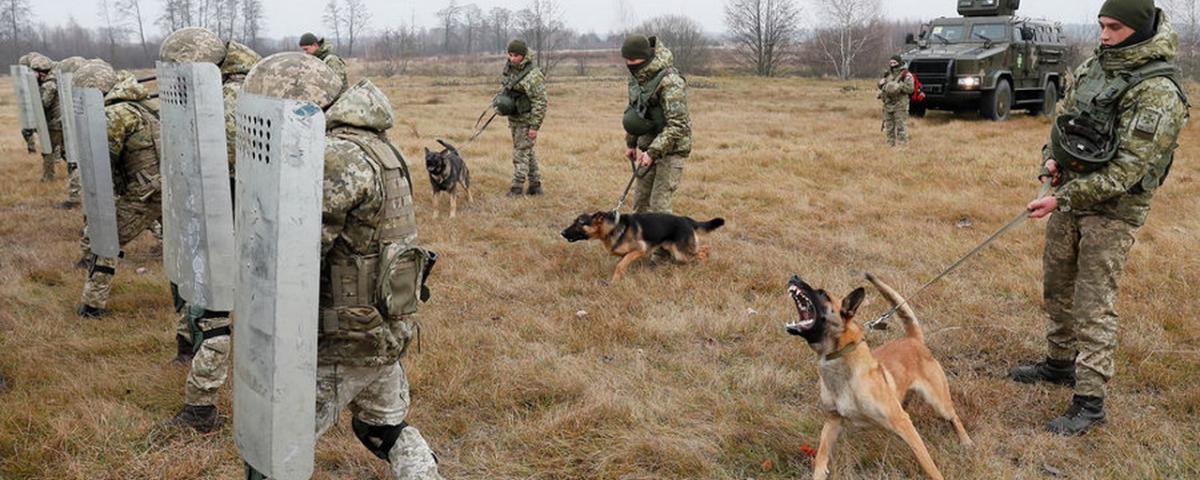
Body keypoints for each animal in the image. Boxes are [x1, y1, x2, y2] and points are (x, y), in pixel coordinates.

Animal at [559, 212, 720, 283]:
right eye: (574, 222)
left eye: (579, 223)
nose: (562, 233)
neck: (613, 227)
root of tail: (686, 219)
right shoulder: (625, 254)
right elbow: (622, 264)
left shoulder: (639, 250)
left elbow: (620, 265)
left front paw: (614, 282)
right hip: (676, 250)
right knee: (703, 249)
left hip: (681, 252)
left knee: (705, 250)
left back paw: (704, 265)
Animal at [787, 273, 974, 480]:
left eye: (822, 293)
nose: (794, 277)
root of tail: (913, 339)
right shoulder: (833, 420)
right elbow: (822, 453)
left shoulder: (902, 421)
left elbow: (927, 462)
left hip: (938, 403)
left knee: (953, 416)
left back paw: (965, 441)